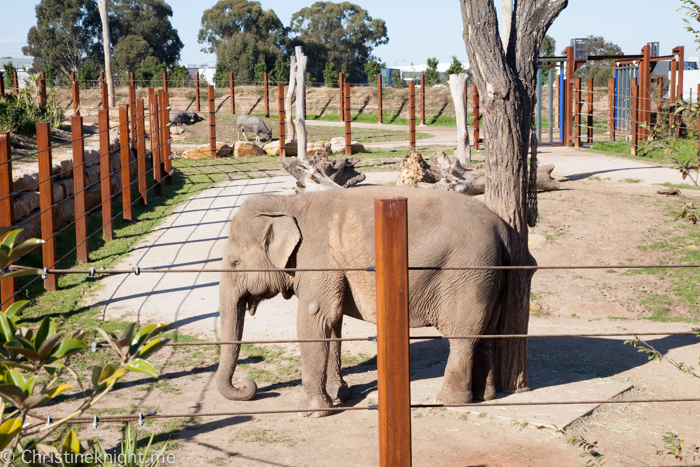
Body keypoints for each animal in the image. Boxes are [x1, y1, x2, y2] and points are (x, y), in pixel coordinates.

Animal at [216, 185, 512, 418]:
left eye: (235, 262)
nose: (248, 386)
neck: (287, 203)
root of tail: (502, 228)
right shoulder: (331, 268)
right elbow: (332, 322)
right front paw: (340, 395)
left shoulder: (317, 260)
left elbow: (314, 320)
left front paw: (311, 411)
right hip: (492, 276)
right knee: (488, 334)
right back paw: (485, 396)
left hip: (468, 276)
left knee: (463, 337)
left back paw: (450, 401)